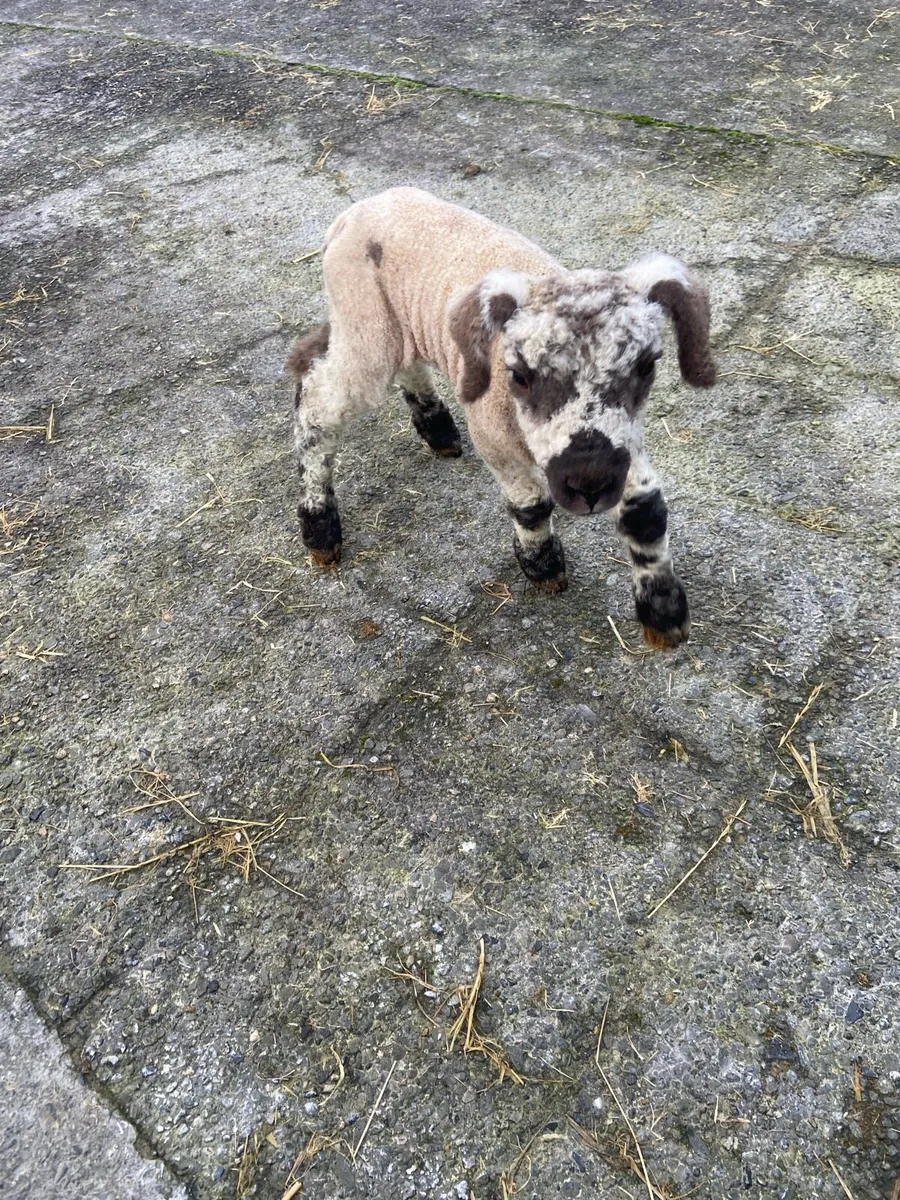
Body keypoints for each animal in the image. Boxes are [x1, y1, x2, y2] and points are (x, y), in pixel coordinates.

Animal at [286, 186, 716, 648]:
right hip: (365, 319)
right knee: (319, 401)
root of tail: (353, 213)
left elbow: (646, 510)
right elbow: (531, 504)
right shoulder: (493, 432)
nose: (589, 485)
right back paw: (319, 527)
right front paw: (543, 566)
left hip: (399, 321)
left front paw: (664, 613)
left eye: (647, 366)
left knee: (405, 364)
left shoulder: (624, 442)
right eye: (520, 375)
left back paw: (437, 430)